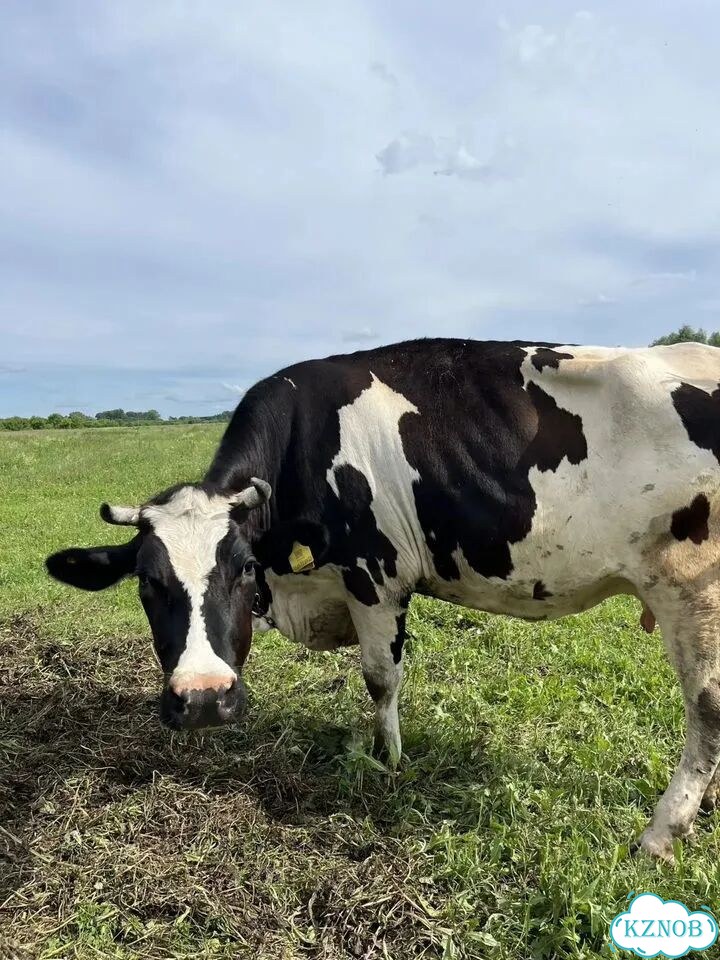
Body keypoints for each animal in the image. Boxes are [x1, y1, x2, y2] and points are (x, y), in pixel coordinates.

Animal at [45, 338, 720, 861]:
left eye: (242, 570)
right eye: (147, 582)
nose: (205, 698)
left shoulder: (375, 575)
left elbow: (380, 677)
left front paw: (389, 760)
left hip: (692, 588)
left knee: (706, 706)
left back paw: (662, 833)